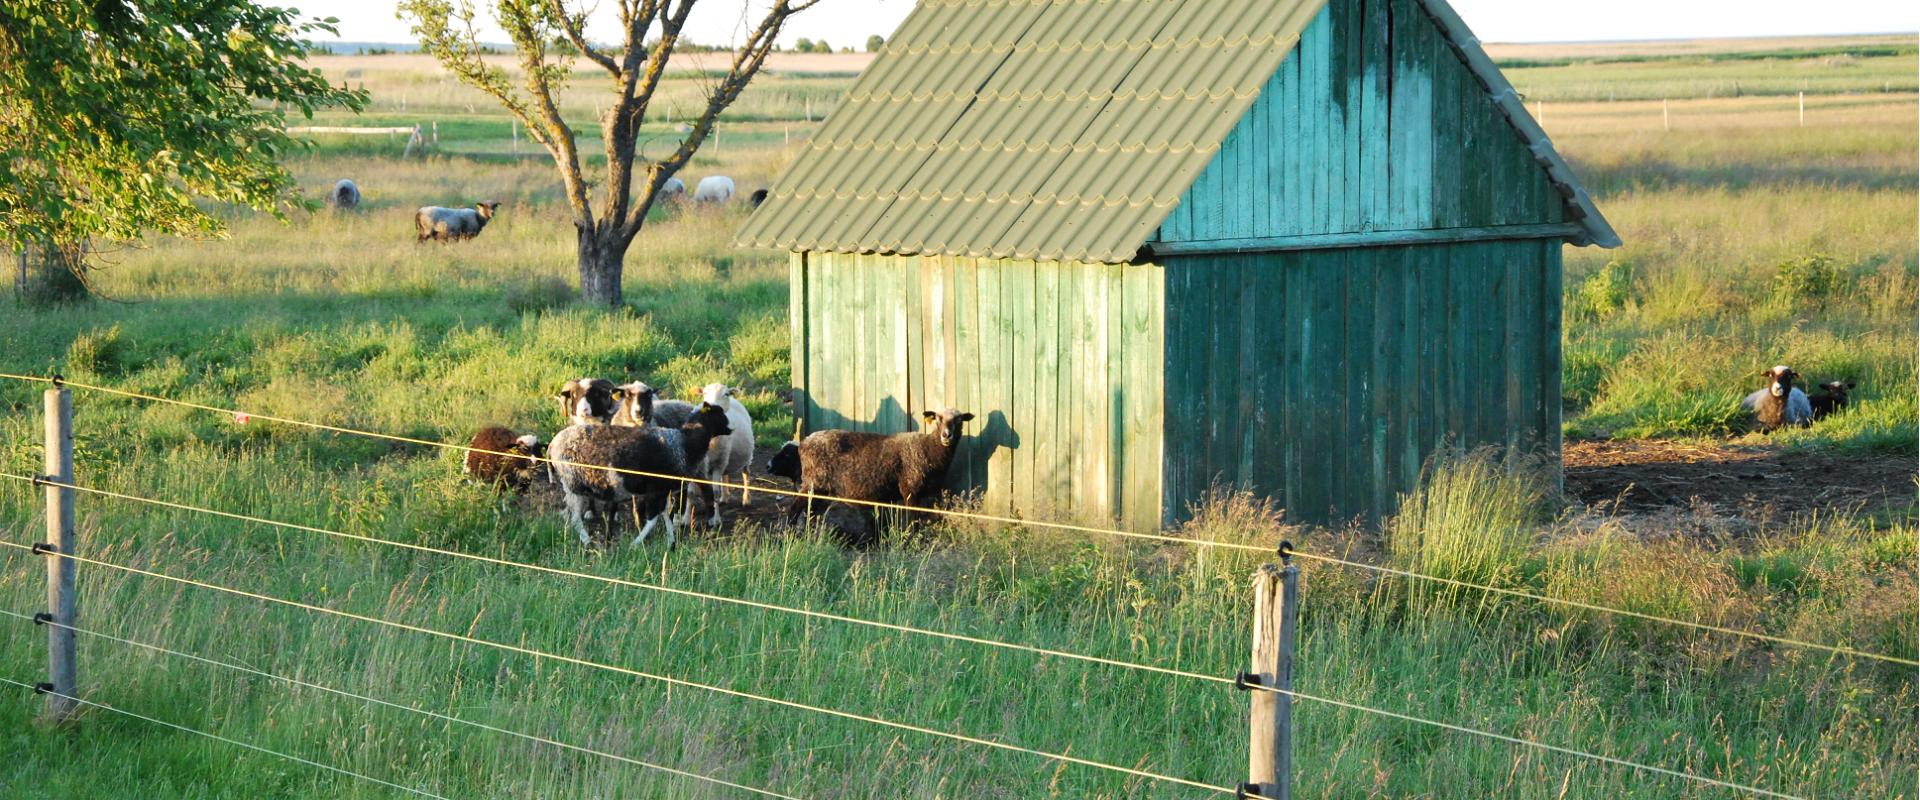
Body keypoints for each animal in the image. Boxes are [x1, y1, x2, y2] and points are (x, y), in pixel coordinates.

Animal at [556, 402, 741, 544]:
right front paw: (637, 543)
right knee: (575, 518)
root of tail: (554, 444)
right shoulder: (656, 490)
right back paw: (587, 541)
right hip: (574, 485)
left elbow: (665, 515)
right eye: (719, 414)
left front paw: (671, 542)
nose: (731, 429)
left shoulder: (663, 489)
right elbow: (653, 518)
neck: (686, 443)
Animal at [691, 379, 748, 521]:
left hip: (743, 457)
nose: (712, 406)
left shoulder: (718, 463)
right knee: (725, 474)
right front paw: (685, 520)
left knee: (746, 474)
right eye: (704, 393)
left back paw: (746, 499)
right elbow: (691, 493)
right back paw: (725, 497)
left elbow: (714, 492)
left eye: (726, 394)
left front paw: (715, 519)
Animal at [787, 408, 975, 544]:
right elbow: (912, 519)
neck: (929, 448)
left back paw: (810, 536)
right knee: (794, 509)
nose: (946, 435)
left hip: (820, 489)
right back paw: (790, 536)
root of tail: (804, 442)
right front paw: (912, 541)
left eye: (959, 420)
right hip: (812, 483)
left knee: (810, 511)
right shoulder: (910, 489)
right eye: (937, 418)